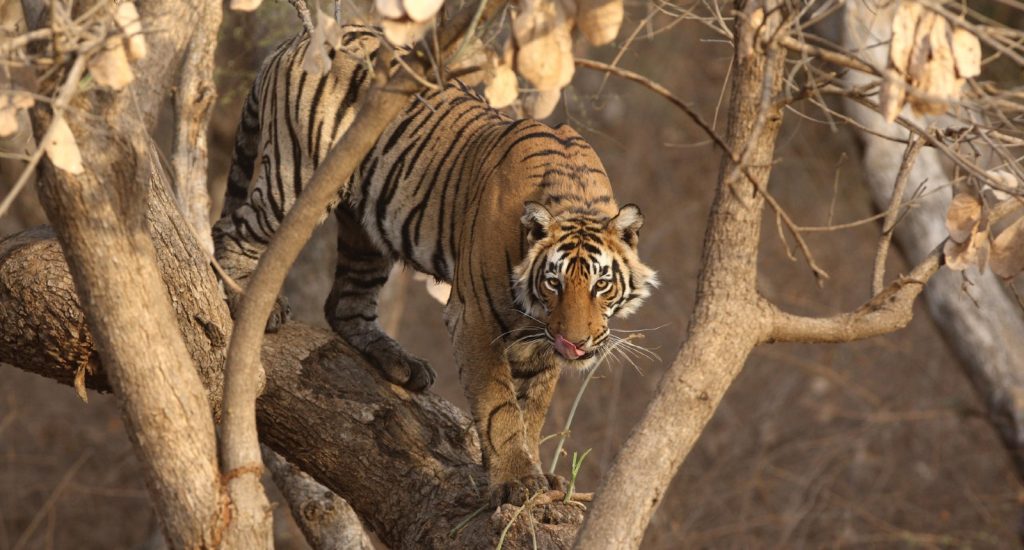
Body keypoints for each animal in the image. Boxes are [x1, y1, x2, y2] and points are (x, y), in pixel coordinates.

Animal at [212, 25, 657, 505]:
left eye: (601, 285)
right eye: (554, 284)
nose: (575, 344)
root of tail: (303, 35)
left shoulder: (539, 337)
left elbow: (532, 407)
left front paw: (536, 473)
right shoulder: (476, 316)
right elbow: (500, 404)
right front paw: (517, 479)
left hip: (367, 230)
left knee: (346, 303)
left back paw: (400, 364)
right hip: (296, 179)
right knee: (231, 231)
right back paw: (247, 300)